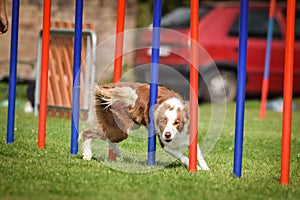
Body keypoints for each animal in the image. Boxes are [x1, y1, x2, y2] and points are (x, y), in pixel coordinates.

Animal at [81, 81, 210, 170]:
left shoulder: (189, 136)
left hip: (127, 125)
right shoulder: (165, 144)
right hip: (120, 130)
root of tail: (111, 89)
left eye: (176, 122)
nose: (167, 135)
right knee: (87, 132)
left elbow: (199, 154)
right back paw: (87, 155)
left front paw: (206, 169)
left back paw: (116, 151)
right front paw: (197, 168)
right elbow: (181, 156)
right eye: (162, 121)